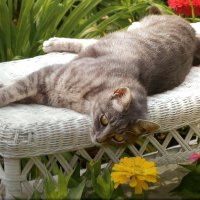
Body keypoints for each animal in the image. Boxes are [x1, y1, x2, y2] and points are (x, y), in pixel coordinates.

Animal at [0, 14, 198, 145]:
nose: (99, 139)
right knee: (92, 39)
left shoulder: (45, 91)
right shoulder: (46, 76)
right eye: (104, 120)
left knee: (87, 42)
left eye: (118, 137)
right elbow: (12, 91)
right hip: (126, 31)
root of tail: (192, 33)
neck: (84, 101)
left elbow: (16, 91)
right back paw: (52, 42)